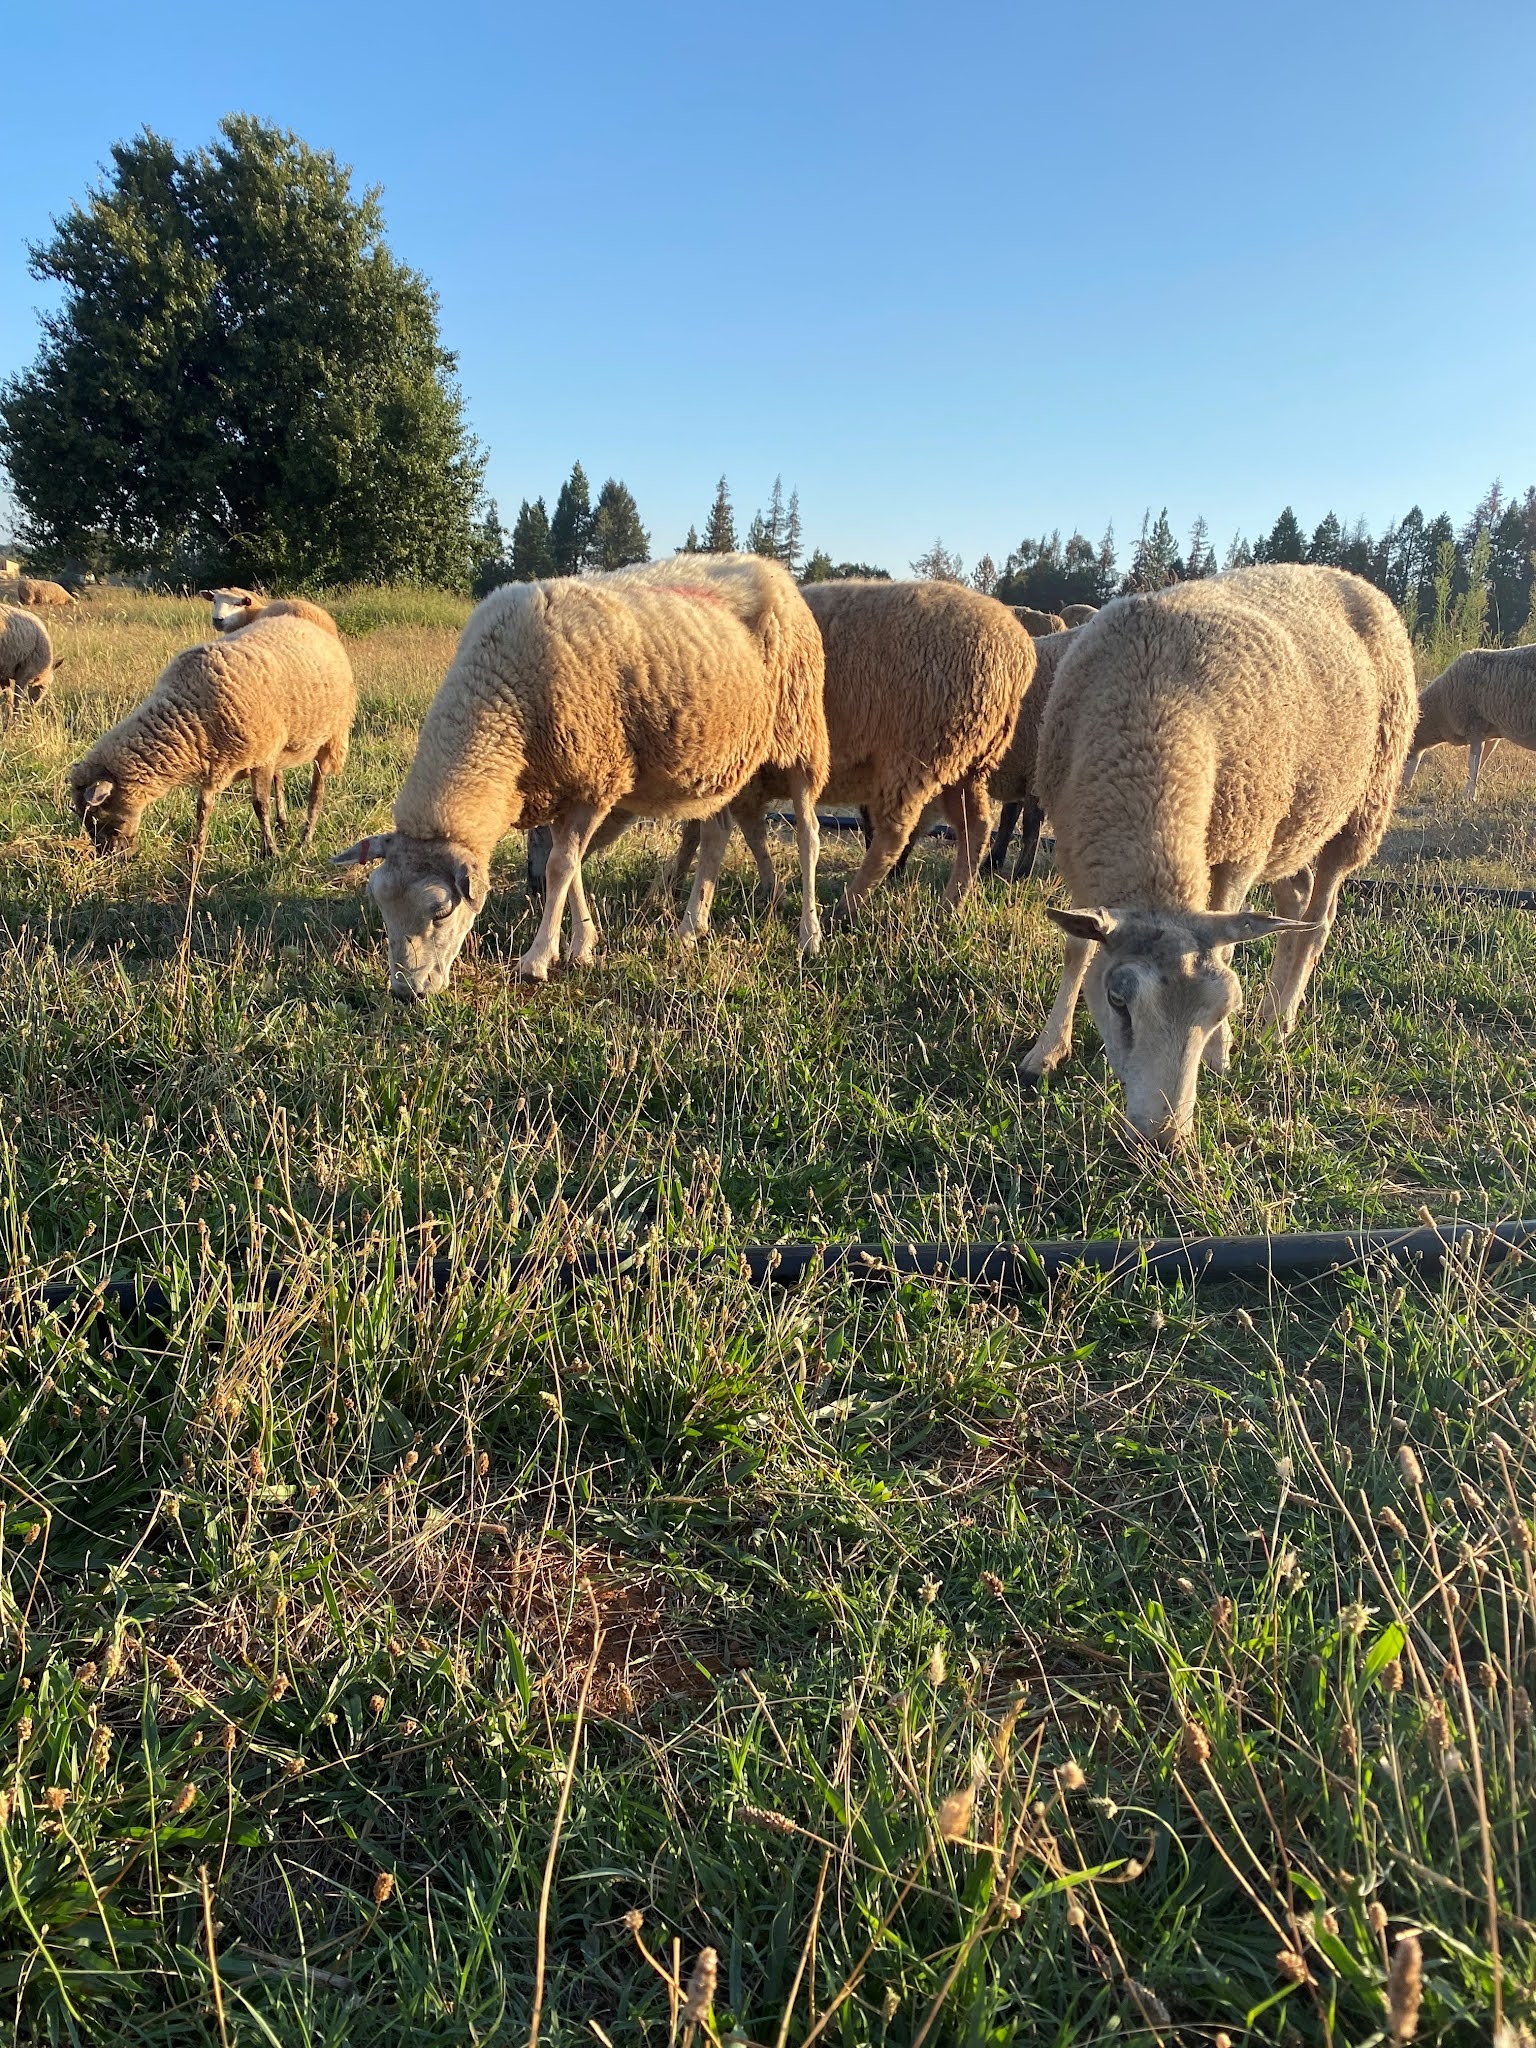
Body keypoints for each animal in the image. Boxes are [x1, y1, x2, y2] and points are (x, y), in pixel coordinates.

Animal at [67, 611, 355, 858]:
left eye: (98, 816)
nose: (113, 858)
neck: (187, 708)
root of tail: (307, 624)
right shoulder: (213, 760)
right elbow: (203, 809)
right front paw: (196, 849)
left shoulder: (261, 757)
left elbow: (260, 804)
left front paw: (270, 851)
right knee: (281, 779)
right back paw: (284, 824)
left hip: (331, 738)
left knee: (316, 793)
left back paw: (305, 839)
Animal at [333, 553, 828, 997]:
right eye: (381, 905)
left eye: (439, 912)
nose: (406, 992)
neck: (501, 694)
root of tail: (774, 569)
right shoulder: (562, 785)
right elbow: (569, 868)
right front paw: (581, 946)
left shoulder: (595, 779)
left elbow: (561, 867)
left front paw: (536, 960)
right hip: (721, 762)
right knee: (717, 833)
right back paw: (691, 927)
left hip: (801, 734)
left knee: (808, 834)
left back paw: (809, 935)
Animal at [1023, 564, 1415, 1147]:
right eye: (1118, 1002)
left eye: (1221, 1006)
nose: (1163, 1139)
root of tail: (1354, 580)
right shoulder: (1076, 852)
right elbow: (1076, 951)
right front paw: (1047, 1051)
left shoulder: (1237, 850)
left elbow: (1227, 946)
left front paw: (1220, 1051)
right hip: (1289, 825)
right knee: (1295, 904)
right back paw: (1273, 1004)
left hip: (1358, 808)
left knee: (1320, 919)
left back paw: (1279, 1020)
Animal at [1402, 645, 1536, 800]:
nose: (1400, 788)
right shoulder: (1490, 734)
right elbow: (1481, 762)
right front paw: (1469, 792)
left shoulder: (1475, 726)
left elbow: (1473, 763)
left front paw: (1469, 796)